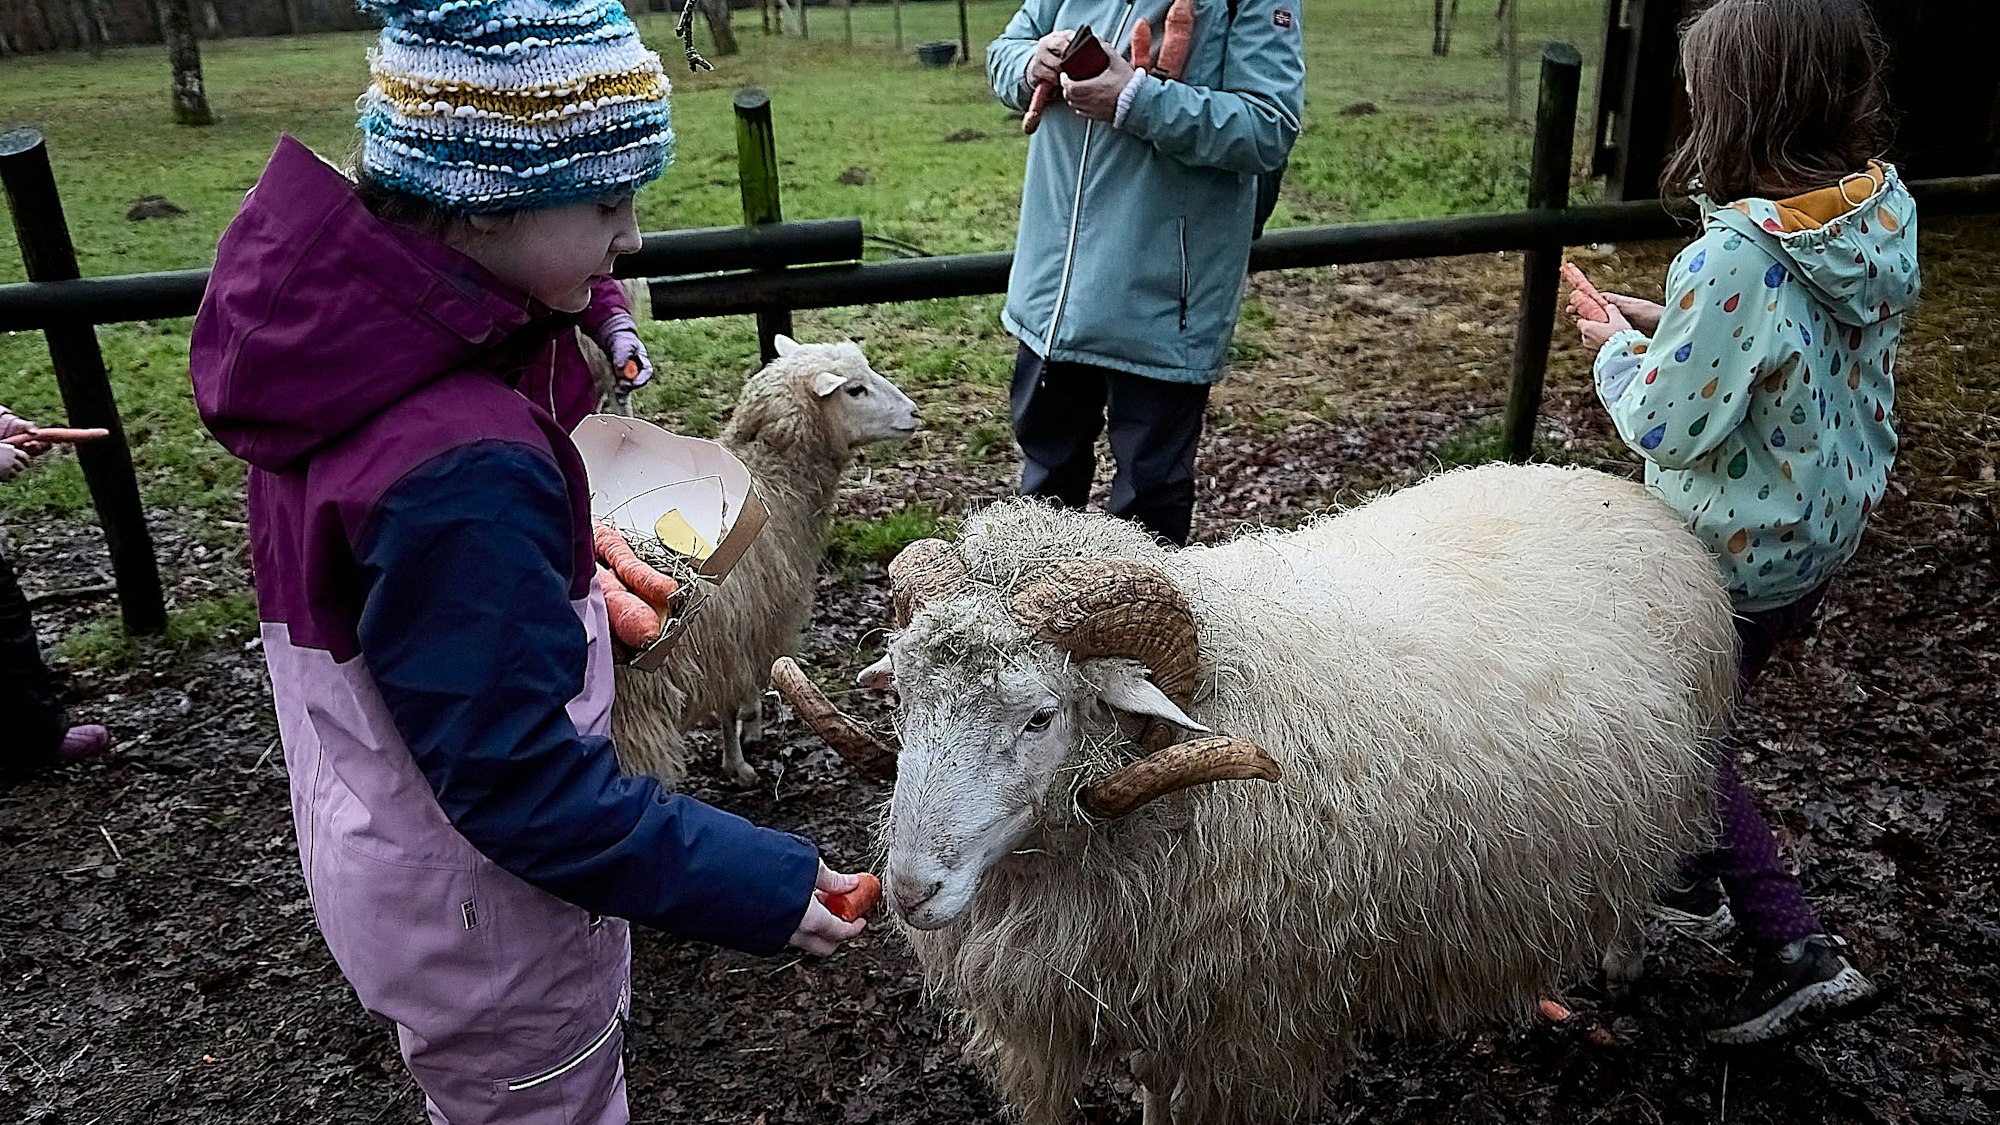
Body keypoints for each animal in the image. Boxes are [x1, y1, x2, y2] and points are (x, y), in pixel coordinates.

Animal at [610, 334, 918, 786]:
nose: (914, 413)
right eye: (855, 389)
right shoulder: (744, 629)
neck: (773, 480)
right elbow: (731, 704)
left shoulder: (741, 630)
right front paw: (739, 759)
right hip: (634, 711)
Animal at [776, 462, 1737, 1125]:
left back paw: (1622, 959)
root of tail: (1611, 485)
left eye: (1041, 716)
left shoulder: (1250, 1025)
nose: (909, 890)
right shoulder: (1158, 993)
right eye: (903, 697)